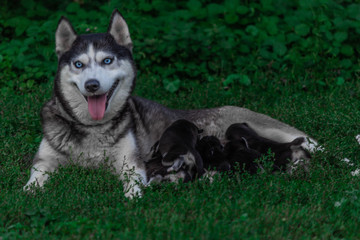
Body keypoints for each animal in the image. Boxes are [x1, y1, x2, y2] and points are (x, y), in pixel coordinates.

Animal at [23, 9, 320, 197]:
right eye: (78, 64)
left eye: (107, 60)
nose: (92, 85)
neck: (92, 129)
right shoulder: (44, 160)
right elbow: (35, 177)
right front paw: (29, 193)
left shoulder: (131, 161)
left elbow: (133, 179)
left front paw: (134, 196)